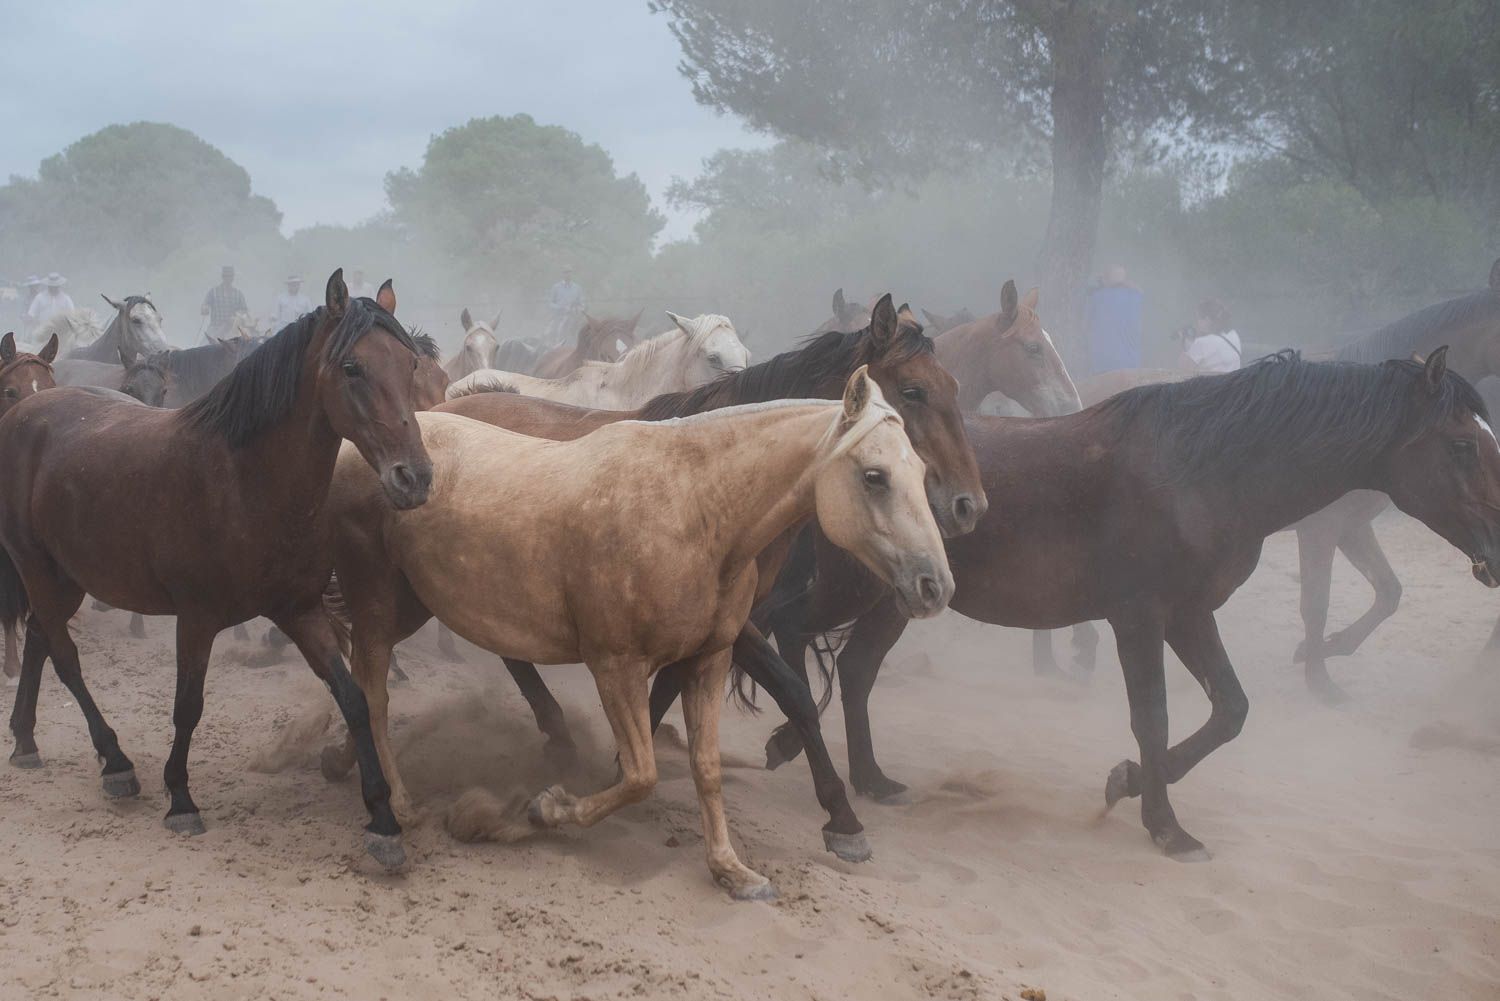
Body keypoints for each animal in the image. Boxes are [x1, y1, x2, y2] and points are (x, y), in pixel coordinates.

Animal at [0, 270, 435, 864]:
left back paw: (26, 739)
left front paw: (383, 819)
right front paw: (181, 799)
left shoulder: (301, 612)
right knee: (66, 657)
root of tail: (25, 410)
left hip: (66, 579)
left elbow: (353, 698)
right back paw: (116, 763)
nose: (414, 477)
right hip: (39, 570)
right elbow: (189, 705)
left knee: (44, 640)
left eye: (410, 365)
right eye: (352, 367)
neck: (242, 480)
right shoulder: (197, 618)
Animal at [756, 352, 1500, 864]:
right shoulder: (1140, 617)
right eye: (1463, 444)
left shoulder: (1192, 614)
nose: (1496, 548)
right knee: (786, 632)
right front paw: (1165, 825)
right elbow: (1155, 717)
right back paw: (797, 744)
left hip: (899, 596)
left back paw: (870, 778)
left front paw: (1130, 782)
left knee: (854, 670)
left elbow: (1229, 710)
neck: (1206, 471)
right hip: (853, 587)